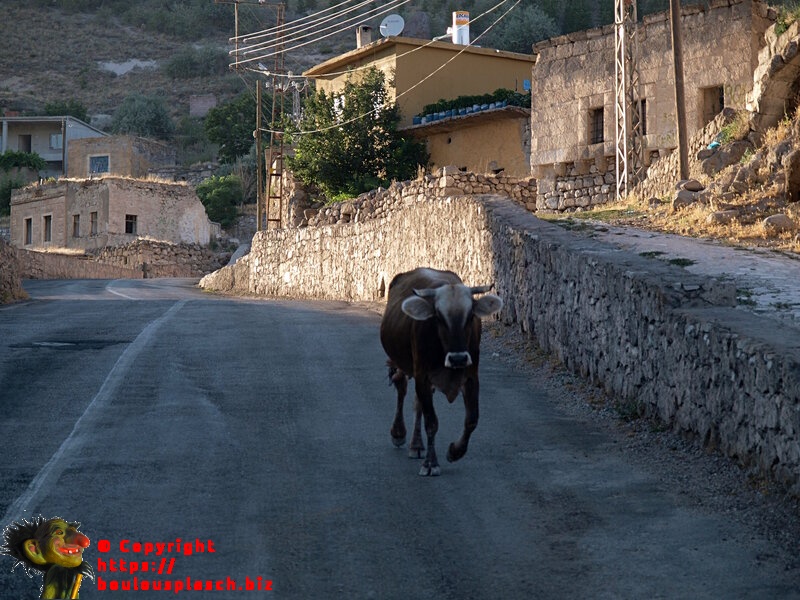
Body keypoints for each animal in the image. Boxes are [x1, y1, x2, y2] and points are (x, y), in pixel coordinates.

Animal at [379, 267, 503, 476]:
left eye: (470, 316)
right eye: (438, 317)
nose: (458, 358)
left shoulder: (471, 377)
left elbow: (472, 420)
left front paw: (455, 452)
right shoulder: (422, 375)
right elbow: (431, 422)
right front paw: (430, 463)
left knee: (418, 404)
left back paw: (416, 445)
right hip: (400, 361)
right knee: (401, 388)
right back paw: (398, 433)